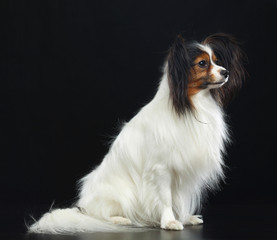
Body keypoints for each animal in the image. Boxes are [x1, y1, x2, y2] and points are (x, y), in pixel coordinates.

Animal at [29, 32, 246, 233]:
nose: (226, 72)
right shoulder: (161, 170)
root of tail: (83, 208)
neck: (190, 105)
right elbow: (166, 199)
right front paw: (169, 222)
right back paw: (121, 220)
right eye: (202, 63)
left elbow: (180, 197)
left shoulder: (182, 170)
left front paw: (184, 218)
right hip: (119, 196)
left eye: (217, 62)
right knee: (101, 216)